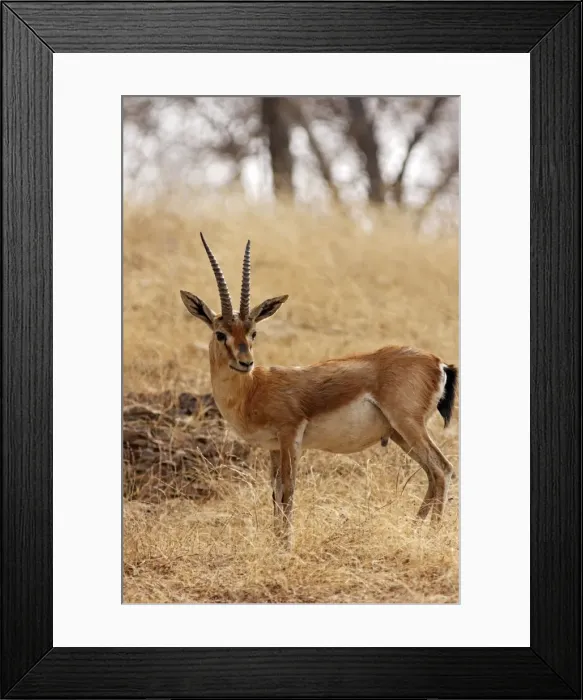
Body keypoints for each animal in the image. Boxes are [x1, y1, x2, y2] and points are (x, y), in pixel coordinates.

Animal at [180, 233, 458, 545]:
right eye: (221, 334)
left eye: (253, 333)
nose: (245, 362)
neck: (254, 389)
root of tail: (437, 362)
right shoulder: (274, 447)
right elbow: (275, 492)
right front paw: (277, 541)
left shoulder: (290, 435)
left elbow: (287, 489)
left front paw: (286, 545)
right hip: (399, 434)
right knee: (432, 473)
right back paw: (414, 529)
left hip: (408, 425)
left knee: (442, 469)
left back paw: (431, 534)